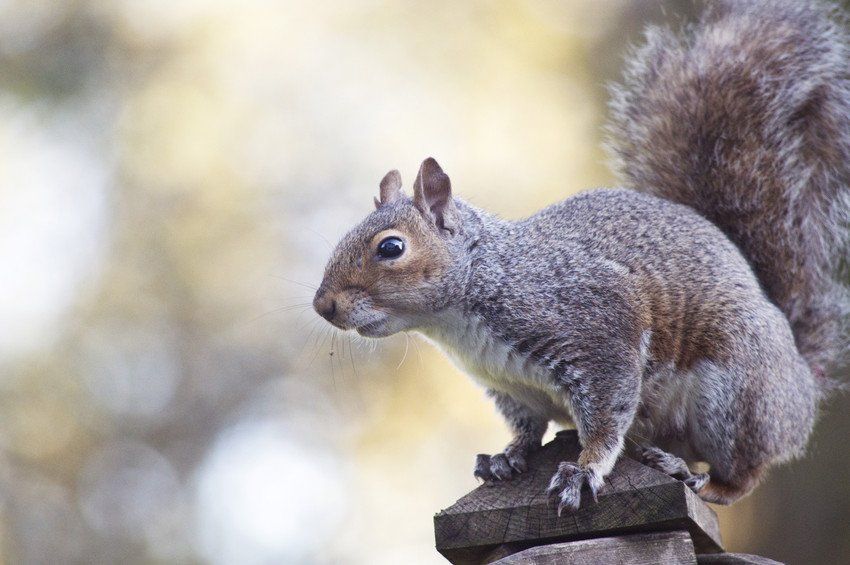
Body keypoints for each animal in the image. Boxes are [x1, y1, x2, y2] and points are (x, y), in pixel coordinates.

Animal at [308, 0, 848, 512]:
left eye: (391, 247)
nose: (323, 305)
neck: (466, 311)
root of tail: (800, 375)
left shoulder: (598, 329)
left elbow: (606, 419)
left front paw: (584, 470)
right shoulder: (511, 388)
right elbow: (528, 429)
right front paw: (507, 456)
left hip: (736, 396)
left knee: (746, 467)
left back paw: (707, 482)